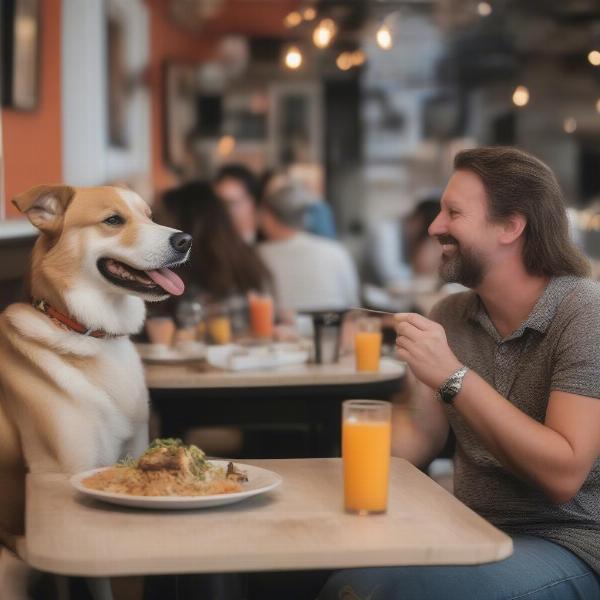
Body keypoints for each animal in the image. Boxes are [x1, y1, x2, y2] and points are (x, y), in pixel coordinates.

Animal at [0, 185, 191, 596]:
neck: (89, 335)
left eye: (150, 216)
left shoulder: (131, 454)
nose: (185, 240)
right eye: (113, 220)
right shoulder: (69, 472)